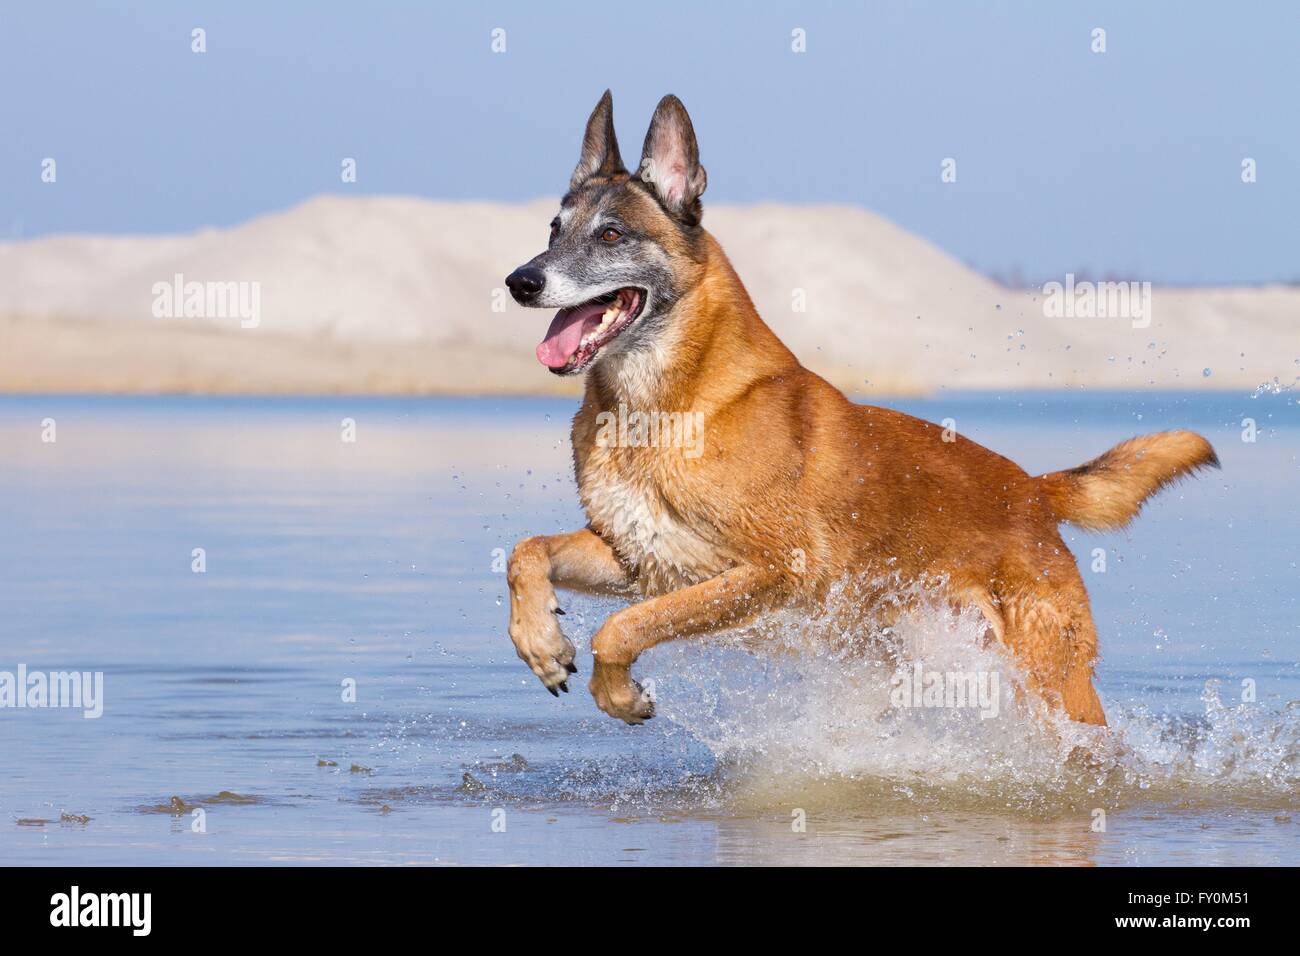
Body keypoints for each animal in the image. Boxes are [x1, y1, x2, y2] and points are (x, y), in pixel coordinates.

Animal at [499, 95, 1216, 723]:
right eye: (553, 231)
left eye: (611, 234)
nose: (519, 281)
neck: (658, 407)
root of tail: (1033, 490)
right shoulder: (638, 559)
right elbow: (526, 551)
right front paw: (541, 641)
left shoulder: (766, 571)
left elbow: (621, 628)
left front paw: (618, 694)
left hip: (1051, 683)